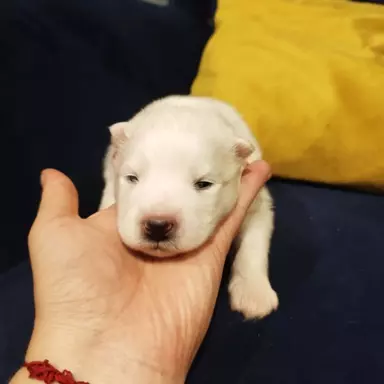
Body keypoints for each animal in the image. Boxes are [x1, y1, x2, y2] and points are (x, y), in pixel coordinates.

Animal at [99, 94, 280, 320]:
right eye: (132, 178)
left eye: (204, 184)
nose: (158, 225)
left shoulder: (258, 204)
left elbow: (253, 244)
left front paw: (254, 296)